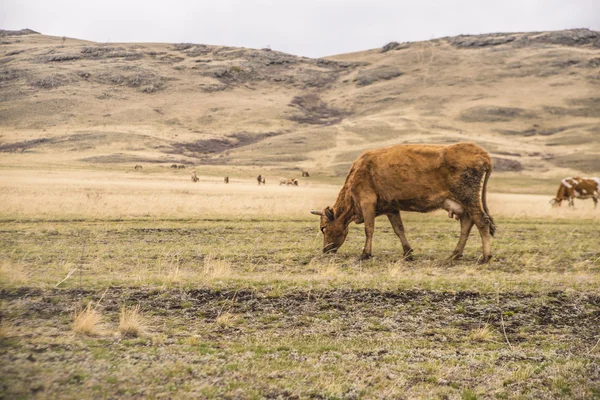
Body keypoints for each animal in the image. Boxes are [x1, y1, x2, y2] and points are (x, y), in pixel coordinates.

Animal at [312, 143, 494, 262]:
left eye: (323, 228)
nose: (325, 250)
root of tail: (481, 154)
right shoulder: (391, 208)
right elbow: (399, 229)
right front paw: (408, 253)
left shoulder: (367, 202)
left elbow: (369, 229)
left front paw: (365, 254)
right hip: (463, 204)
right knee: (467, 224)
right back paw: (455, 254)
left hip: (469, 199)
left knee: (481, 222)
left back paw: (485, 257)